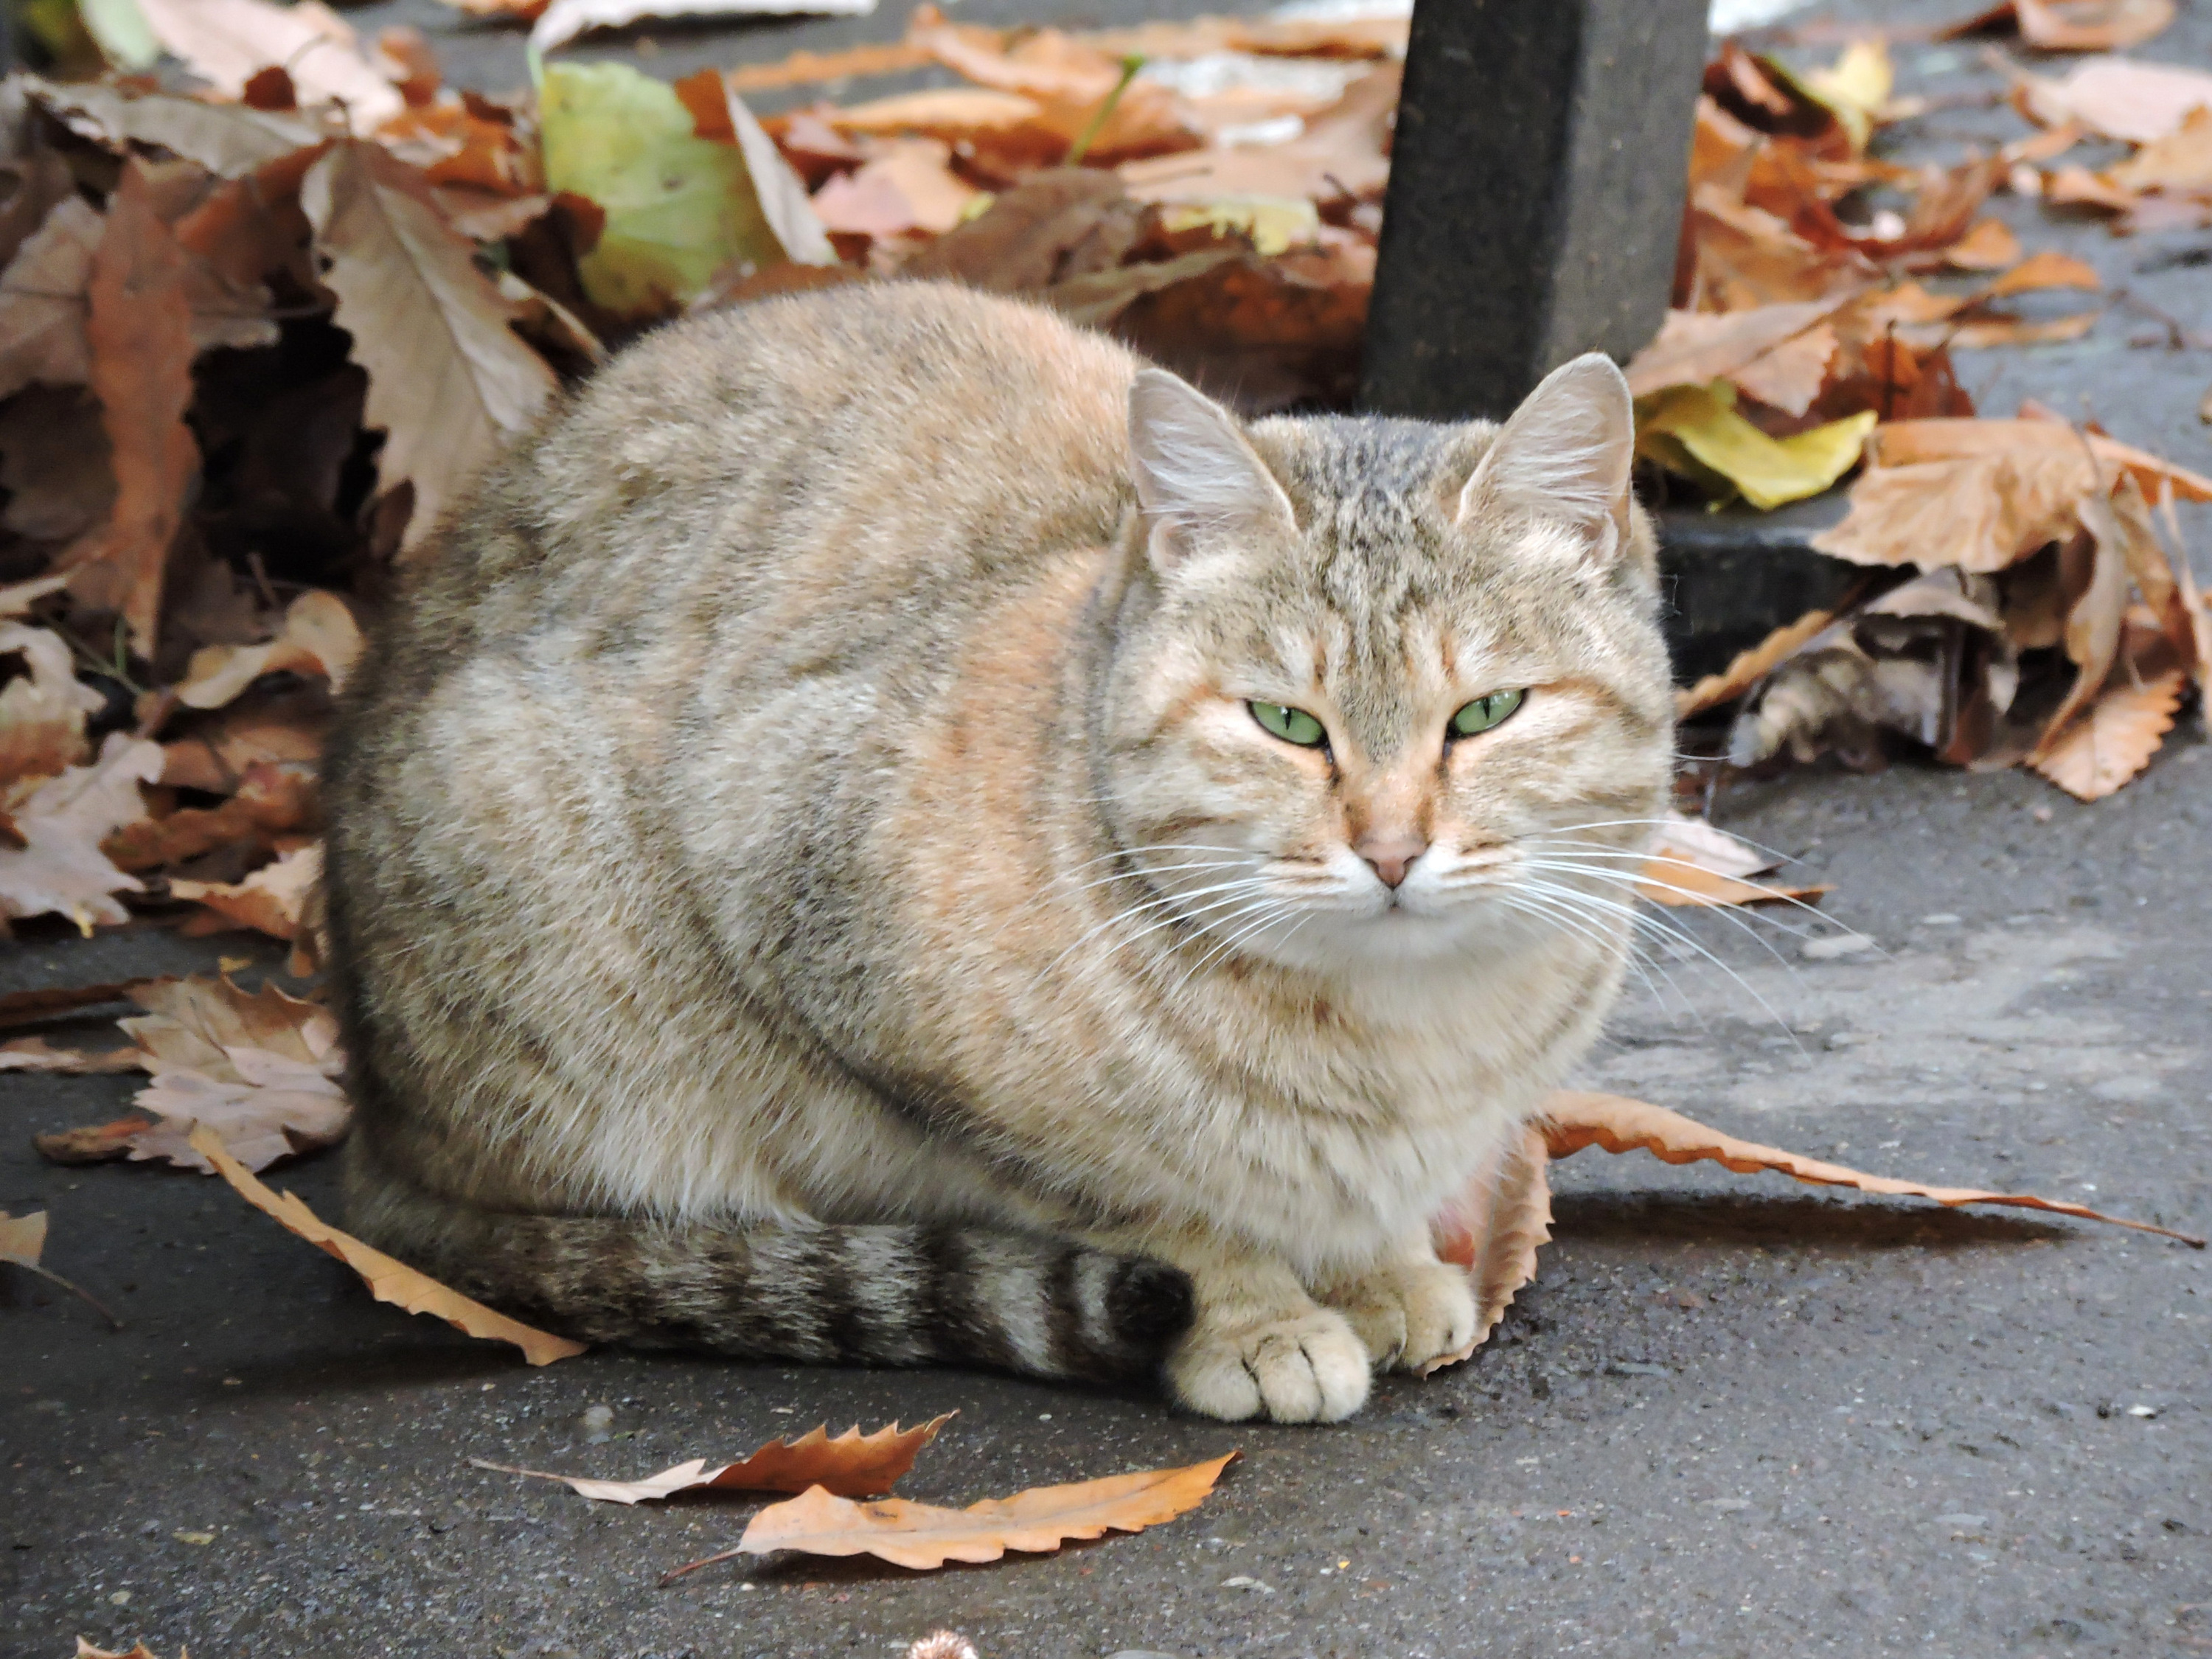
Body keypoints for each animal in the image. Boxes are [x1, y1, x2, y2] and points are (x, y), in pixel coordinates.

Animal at [323, 279, 1672, 1425]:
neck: (1402, 1037)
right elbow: (1145, 1205)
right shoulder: (822, 947)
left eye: (1486, 713)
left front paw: (1378, 1263)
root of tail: (372, 1131)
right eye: (1285, 723)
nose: (1392, 849)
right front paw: (1254, 1315)